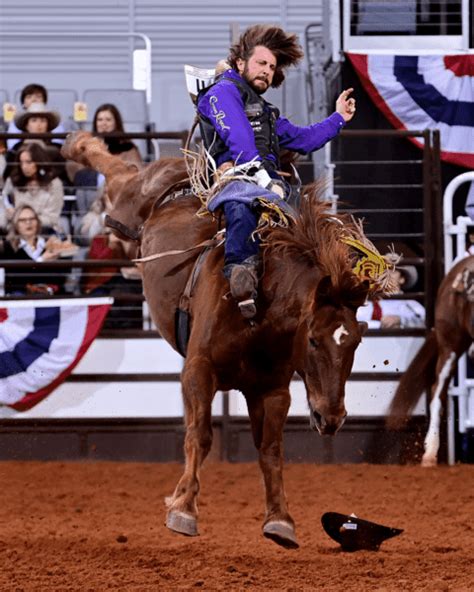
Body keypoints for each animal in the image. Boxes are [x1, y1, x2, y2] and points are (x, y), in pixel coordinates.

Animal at [63, 132, 378, 548]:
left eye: (355, 341)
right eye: (312, 339)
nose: (332, 417)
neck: (259, 310)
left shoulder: (272, 389)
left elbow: (271, 449)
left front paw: (280, 519)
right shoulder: (199, 370)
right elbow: (200, 435)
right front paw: (183, 509)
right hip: (129, 202)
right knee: (121, 170)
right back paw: (78, 145)